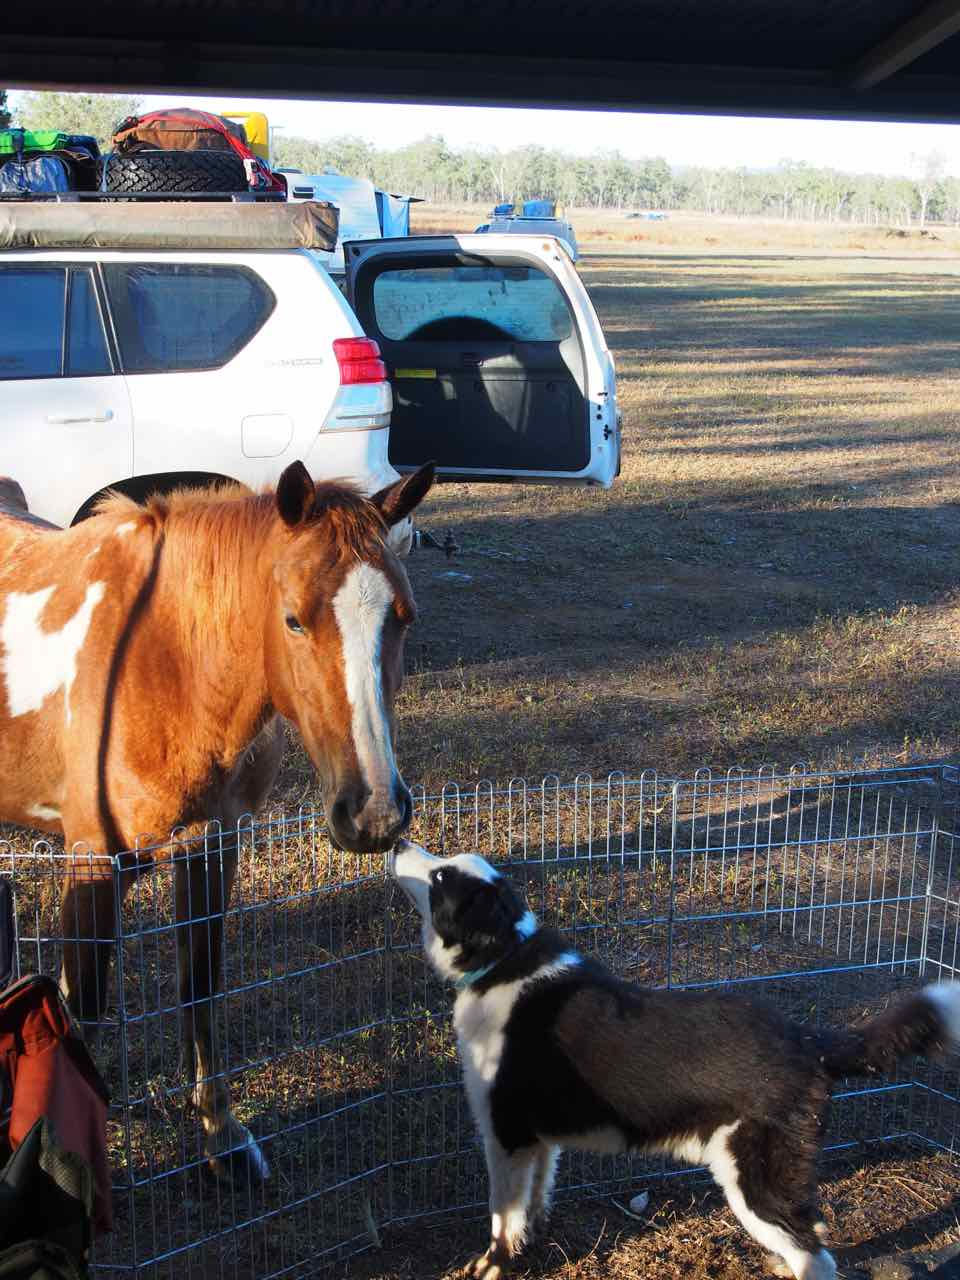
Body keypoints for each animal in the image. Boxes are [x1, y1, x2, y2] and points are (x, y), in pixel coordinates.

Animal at [0, 459, 434, 1183]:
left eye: (404, 616)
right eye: (293, 620)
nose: (373, 812)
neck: (166, 660)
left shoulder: (211, 844)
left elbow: (199, 984)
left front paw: (220, 1134)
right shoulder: (93, 862)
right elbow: (80, 1008)